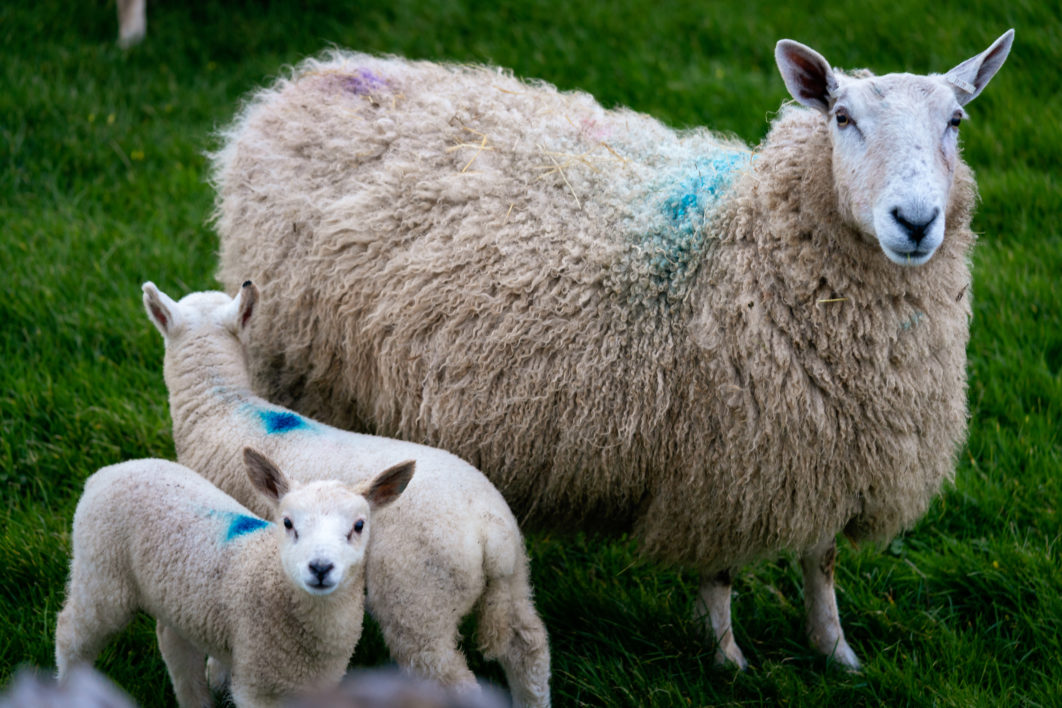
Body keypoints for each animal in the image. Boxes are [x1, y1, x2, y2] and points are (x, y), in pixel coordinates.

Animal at [53, 452, 412, 704]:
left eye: (359, 525)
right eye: (287, 523)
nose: (320, 567)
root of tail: (107, 472)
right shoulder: (256, 685)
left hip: (175, 597)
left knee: (173, 642)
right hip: (101, 571)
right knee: (71, 633)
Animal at [141, 280, 552, 704]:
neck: (220, 406)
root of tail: (489, 530)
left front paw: (217, 676)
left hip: (419, 597)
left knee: (449, 674)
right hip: (514, 578)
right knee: (528, 648)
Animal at [207, 29, 1011, 670]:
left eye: (956, 120)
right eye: (843, 118)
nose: (915, 220)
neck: (741, 241)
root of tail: (309, 80)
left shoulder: (832, 452)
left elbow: (824, 561)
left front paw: (837, 653)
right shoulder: (723, 464)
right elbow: (721, 574)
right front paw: (729, 661)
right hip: (296, 366)